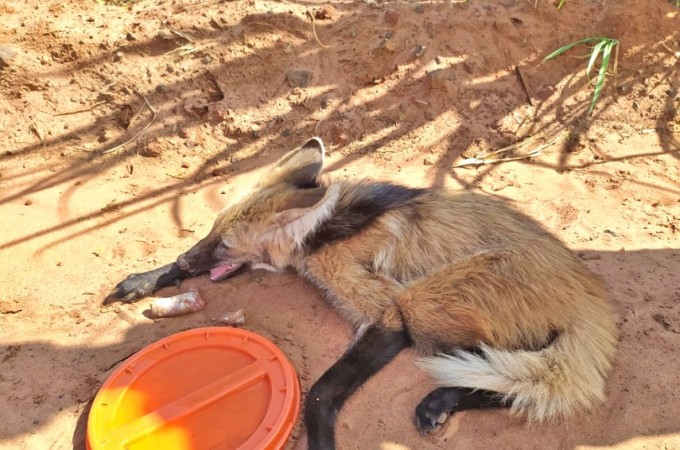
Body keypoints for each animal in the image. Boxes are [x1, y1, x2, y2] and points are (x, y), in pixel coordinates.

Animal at [106, 137, 618, 449]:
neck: (325, 234)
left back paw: (442, 401)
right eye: (210, 233)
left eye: (225, 245)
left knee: (524, 380)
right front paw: (146, 279)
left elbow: (320, 393)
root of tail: (594, 296)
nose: (192, 258)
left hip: (425, 300)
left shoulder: (386, 314)